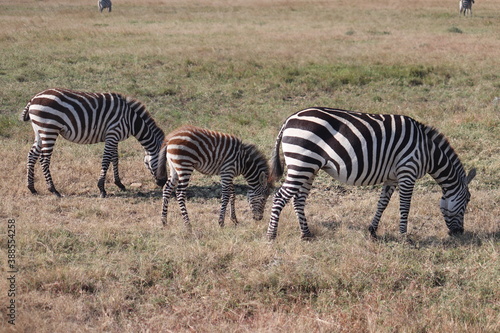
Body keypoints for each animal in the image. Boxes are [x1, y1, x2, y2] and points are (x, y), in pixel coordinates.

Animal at [21, 88, 166, 197]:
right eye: (163, 164)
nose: (163, 183)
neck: (131, 119)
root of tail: (33, 99)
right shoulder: (113, 133)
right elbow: (106, 160)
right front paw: (102, 189)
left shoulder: (114, 136)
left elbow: (115, 158)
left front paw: (119, 184)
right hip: (49, 129)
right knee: (44, 160)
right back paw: (54, 190)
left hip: (39, 130)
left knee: (32, 155)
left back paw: (31, 188)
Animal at [268, 107, 474, 240]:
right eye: (467, 201)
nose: (459, 233)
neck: (428, 152)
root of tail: (290, 119)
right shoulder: (407, 171)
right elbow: (405, 206)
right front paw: (404, 236)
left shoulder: (392, 177)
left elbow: (382, 203)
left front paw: (373, 231)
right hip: (301, 163)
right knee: (280, 197)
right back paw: (271, 236)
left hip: (308, 167)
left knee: (298, 199)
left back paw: (306, 234)